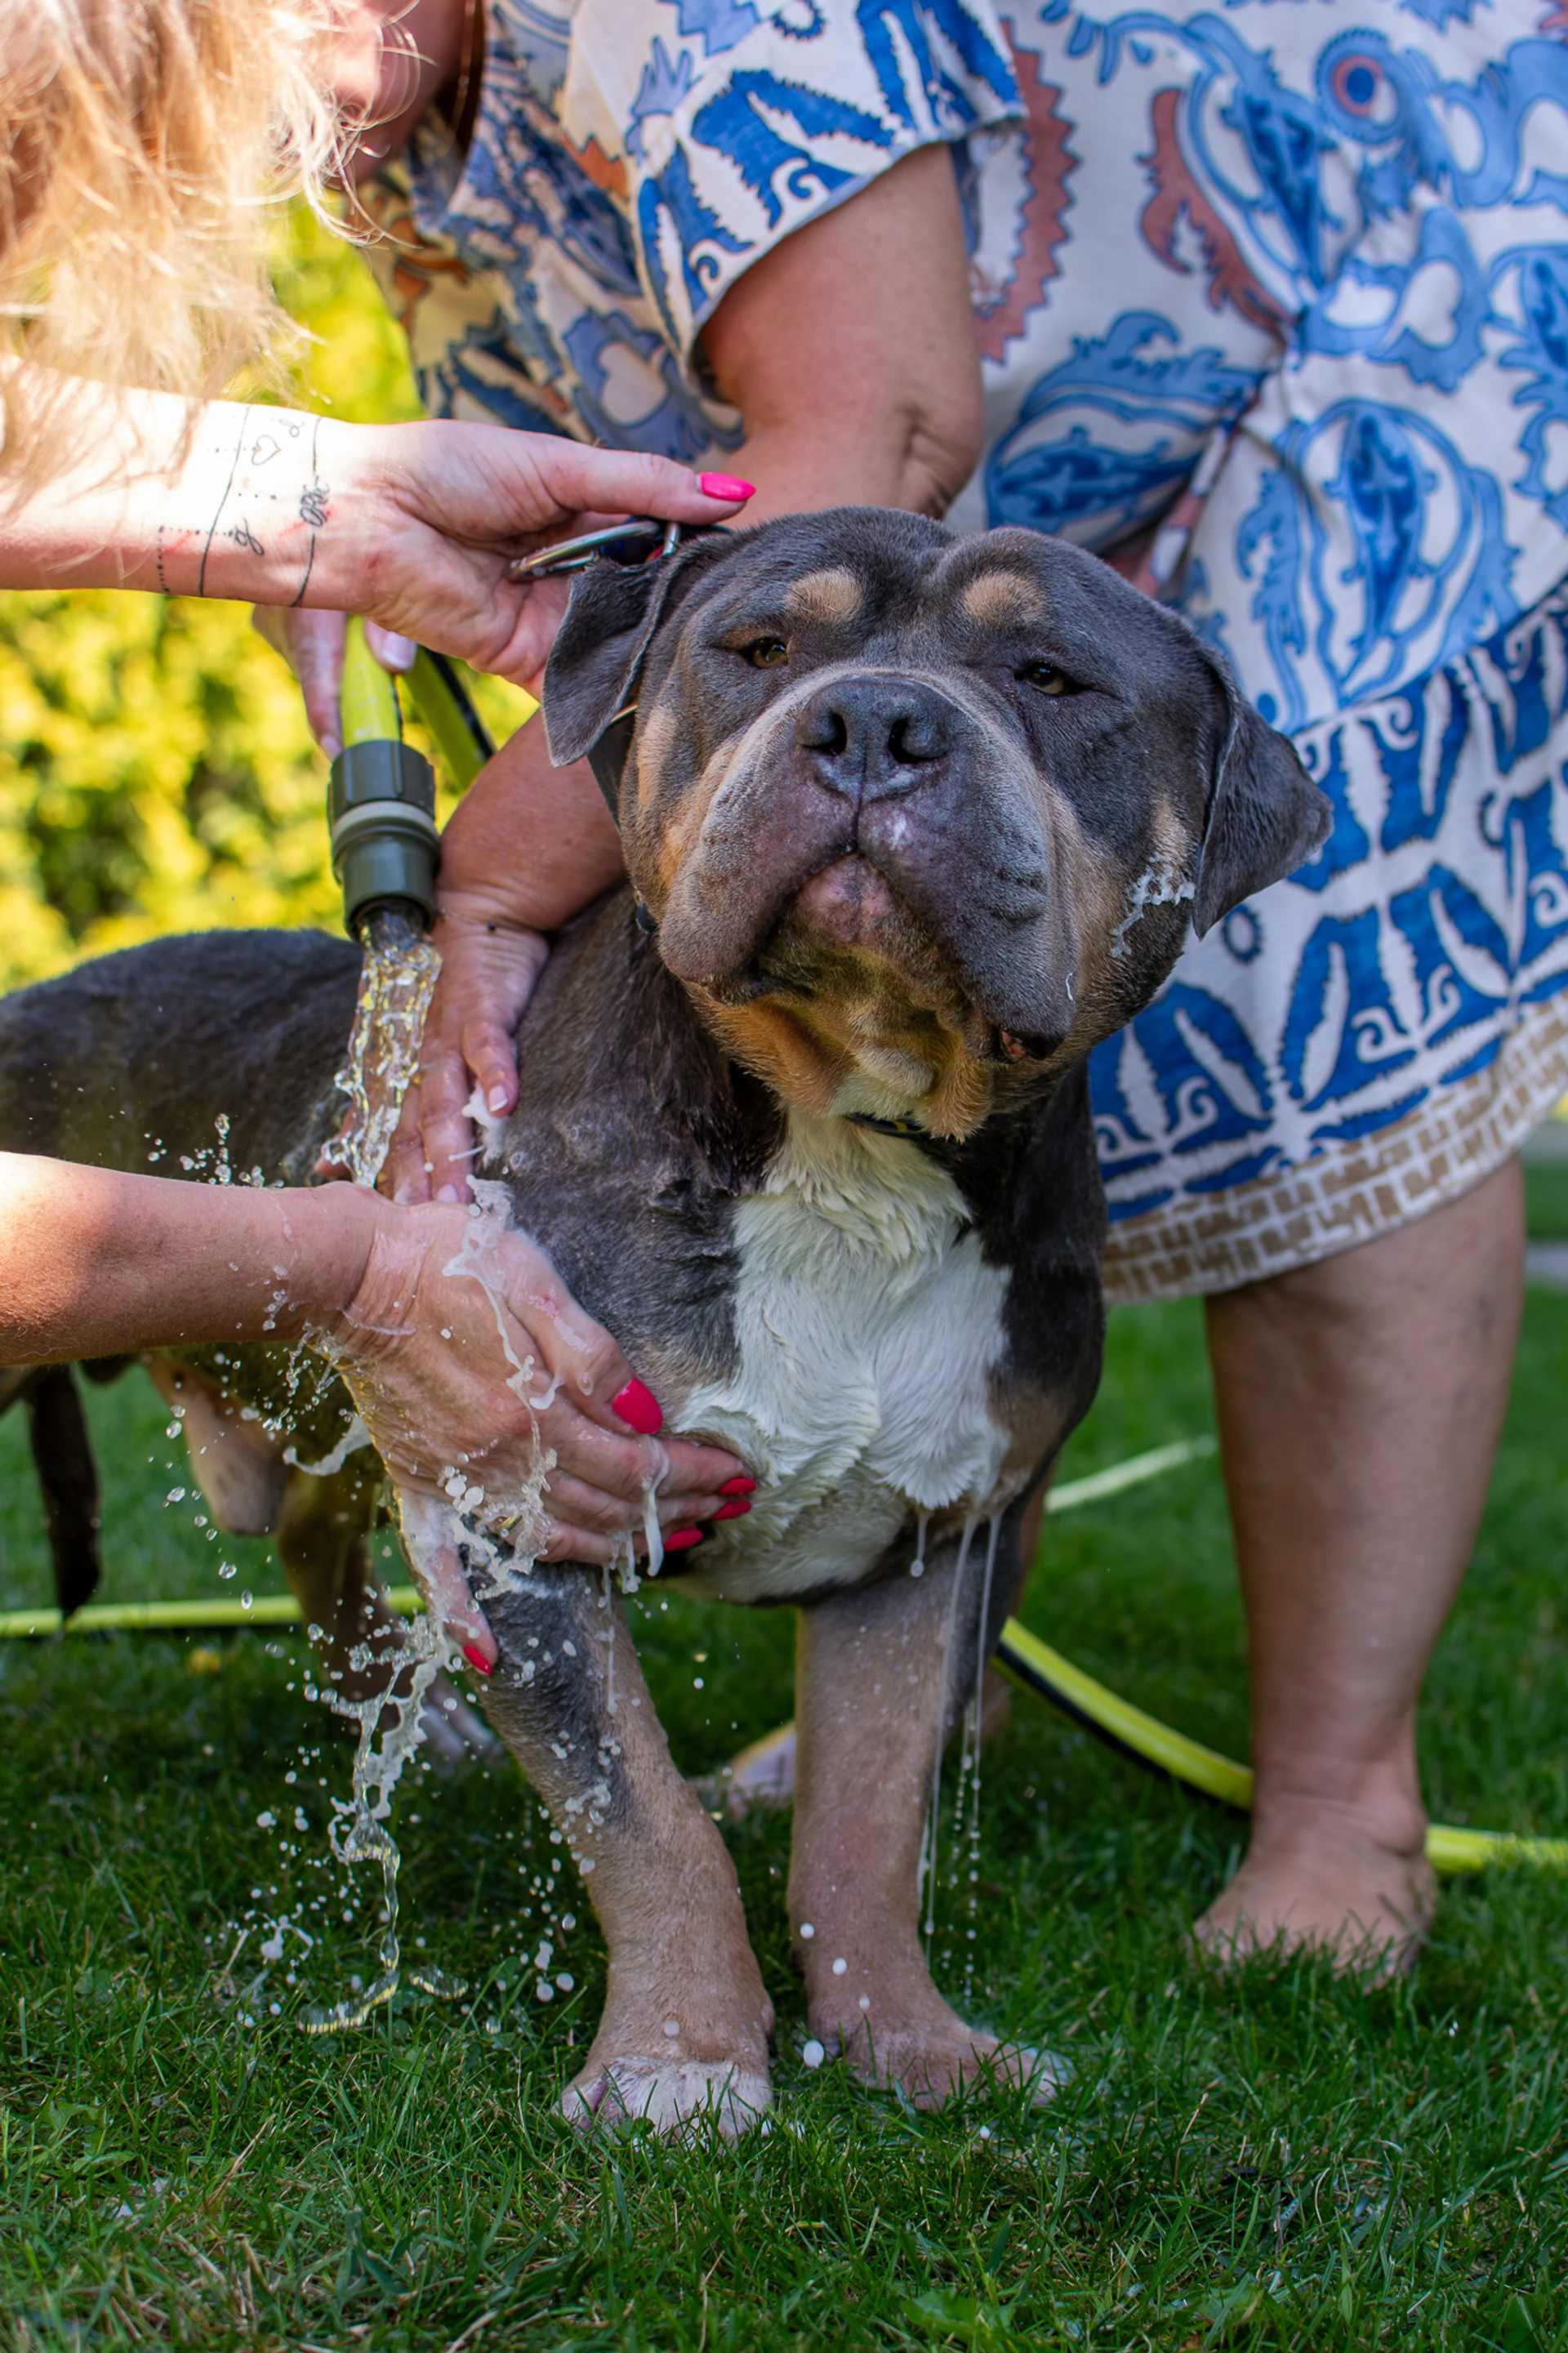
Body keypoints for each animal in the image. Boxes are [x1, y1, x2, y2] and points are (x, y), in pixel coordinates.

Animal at [0, 515, 1327, 2136]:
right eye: (759, 647)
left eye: (1049, 677)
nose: (877, 723)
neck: (847, 1142)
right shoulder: (527, 1504)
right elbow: (643, 1818)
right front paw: (679, 2063)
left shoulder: (933, 1547)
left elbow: (868, 1825)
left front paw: (911, 2042)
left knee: (318, 1532)